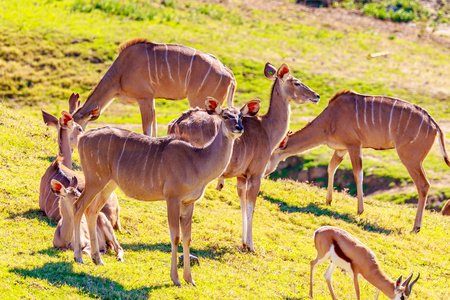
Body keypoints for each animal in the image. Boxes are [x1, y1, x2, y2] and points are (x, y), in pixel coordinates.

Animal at [71, 38, 236, 137]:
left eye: (78, 127)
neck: (121, 71)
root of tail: (228, 73)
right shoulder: (153, 100)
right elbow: (154, 129)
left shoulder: (144, 98)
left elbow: (147, 130)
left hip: (200, 102)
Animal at [72, 98, 251, 286]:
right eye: (225, 116)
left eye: (241, 116)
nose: (238, 128)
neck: (197, 160)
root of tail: (83, 138)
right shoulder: (172, 198)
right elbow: (175, 236)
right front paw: (176, 279)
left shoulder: (189, 202)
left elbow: (187, 237)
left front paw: (190, 279)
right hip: (95, 180)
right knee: (78, 206)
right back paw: (78, 257)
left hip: (108, 184)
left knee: (92, 211)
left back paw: (97, 259)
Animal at [168, 61, 320, 251]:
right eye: (297, 82)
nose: (316, 96)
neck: (267, 129)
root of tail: (177, 123)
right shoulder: (256, 174)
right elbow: (251, 206)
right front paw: (251, 246)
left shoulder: (241, 176)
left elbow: (242, 204)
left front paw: (243, 242)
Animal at [266, 89, 448, 232]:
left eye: (269, 153)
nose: (264, 171)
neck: (330, 118)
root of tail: (435, 125)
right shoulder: (341, 149)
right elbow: (331, 167)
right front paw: (328, 201)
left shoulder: (353, 145)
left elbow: (358, 174)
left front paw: (360, 210)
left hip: (410, 158)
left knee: (424, 185)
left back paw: (416, 227)